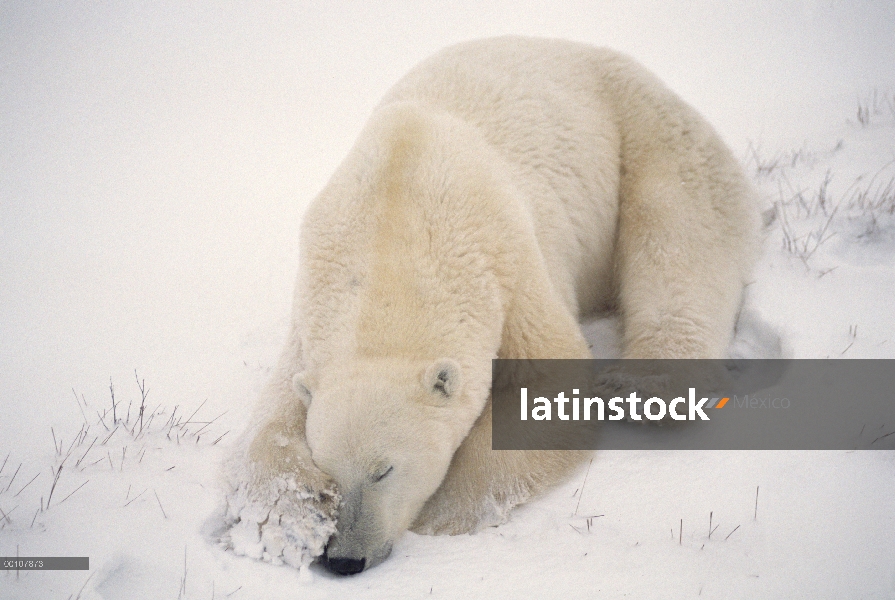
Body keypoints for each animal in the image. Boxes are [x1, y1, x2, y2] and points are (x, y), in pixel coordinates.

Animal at [220, 36, 760, 572]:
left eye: (384, 470)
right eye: (326, 467)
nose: (345, 559)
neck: (391, 225)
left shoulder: (508, 264)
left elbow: (551, 382)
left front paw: (440, 513)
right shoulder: (314, 304)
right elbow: (275, 412)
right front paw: (286, 523)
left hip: (651, 132)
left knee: (678, 239)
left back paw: (643, 389)